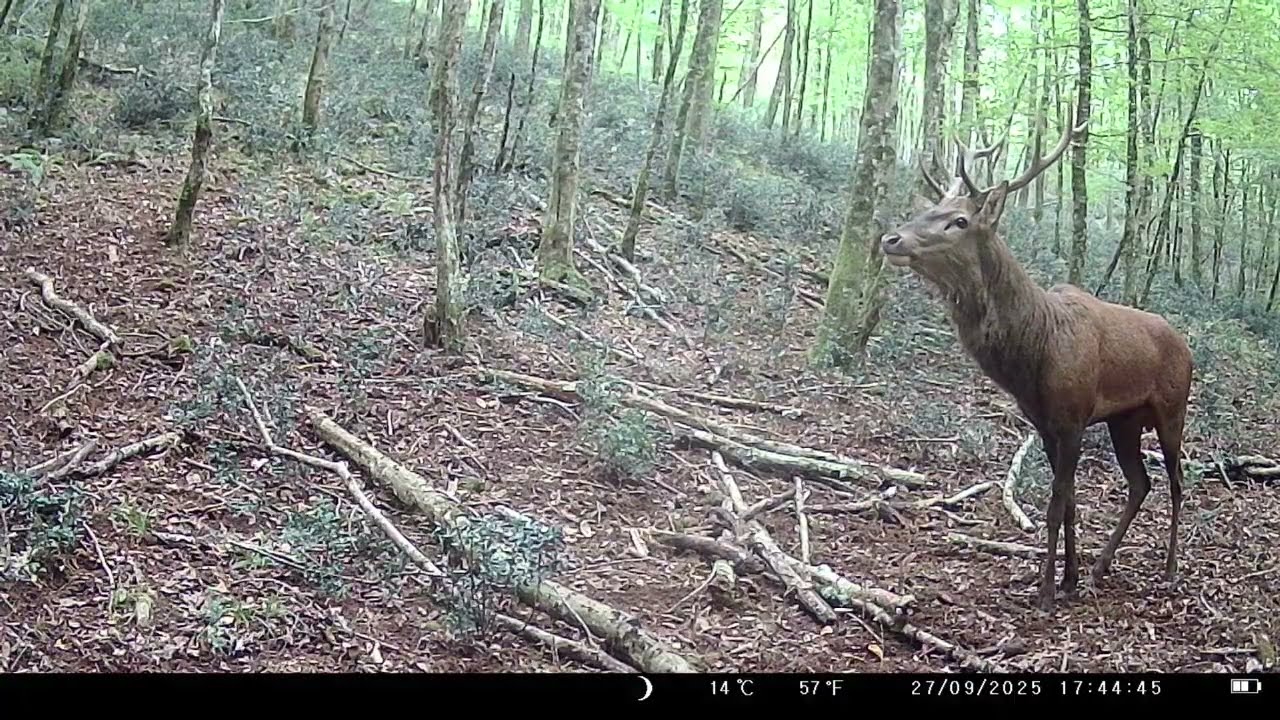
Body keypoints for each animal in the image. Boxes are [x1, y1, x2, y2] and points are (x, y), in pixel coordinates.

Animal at [879, 109, 1194, 612]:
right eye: (928, 209)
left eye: (959, 220)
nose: (892, 238)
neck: (1034, 353)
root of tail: (1188, 347)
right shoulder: (1045, 423)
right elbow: (1070, 503)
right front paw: (1069, 578)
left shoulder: (1073, 416)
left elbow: (1054, 503)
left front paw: (1046, 590)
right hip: (1124, 419)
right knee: (1140, 482)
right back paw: (1102, 567)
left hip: (1172, 407)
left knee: (1178, 480)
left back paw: (1168, 569)